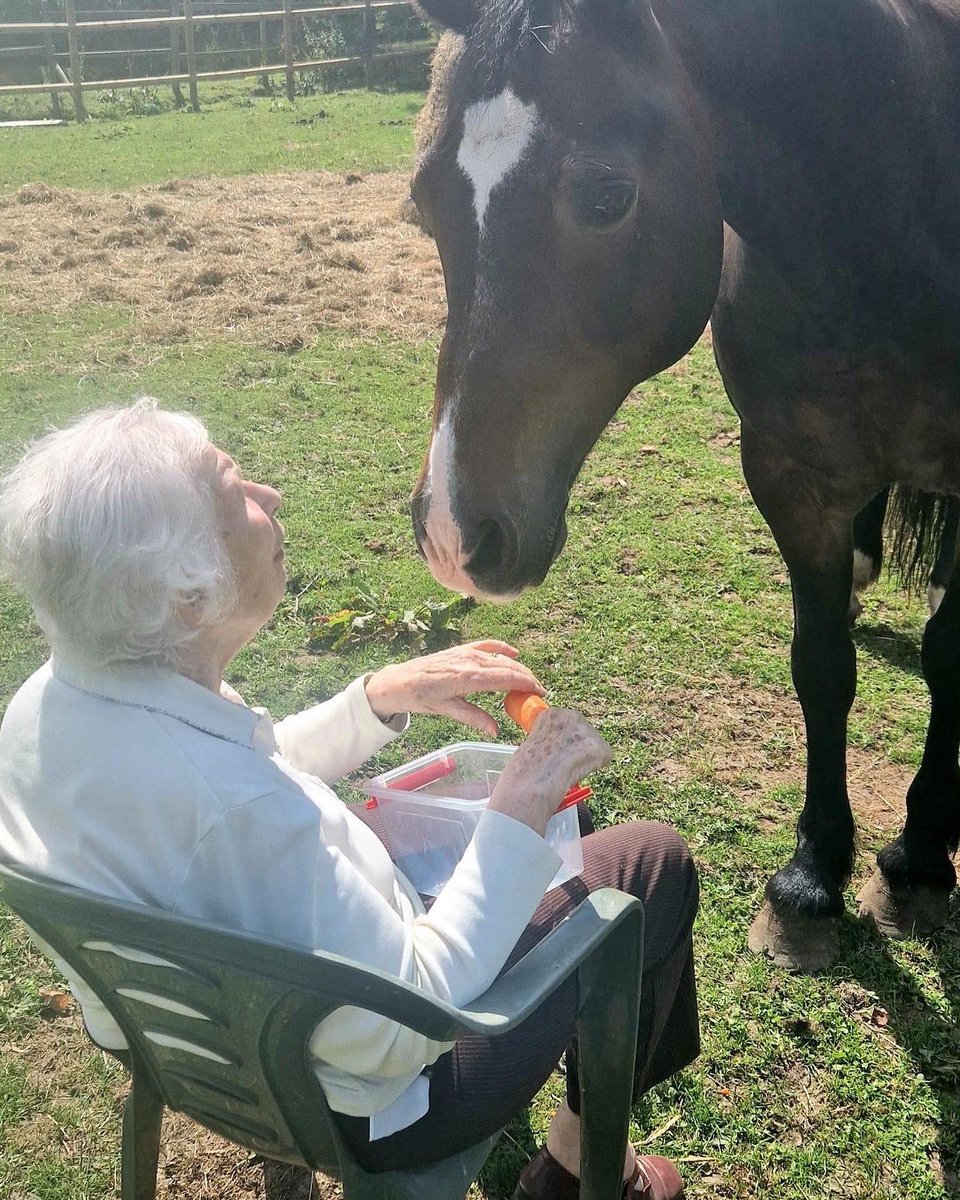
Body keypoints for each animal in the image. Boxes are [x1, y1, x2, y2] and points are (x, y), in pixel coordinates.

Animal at [406, 0, 960, 971]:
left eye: (605, 197)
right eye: (424, 200)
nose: (450, 534)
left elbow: (950, 659)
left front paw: (919, 858)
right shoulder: (793, 478)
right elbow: (822, 668)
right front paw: (810, 881)